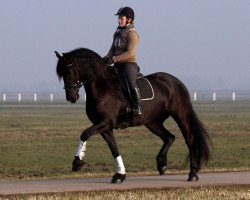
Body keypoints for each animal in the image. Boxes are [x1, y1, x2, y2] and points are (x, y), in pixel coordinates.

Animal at [54, 47, 211, 184]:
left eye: (69, 70)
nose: (71, 97)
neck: (102, 87)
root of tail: (176, 82)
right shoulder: (104, 127)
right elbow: (114, 149)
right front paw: (119, 175)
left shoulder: (105, 122)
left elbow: (85, 134)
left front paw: (77, 162)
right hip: (152, 122)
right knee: (169, 137)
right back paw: (162, 164)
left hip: (181, 116)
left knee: (189, 140)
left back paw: (192, 173)